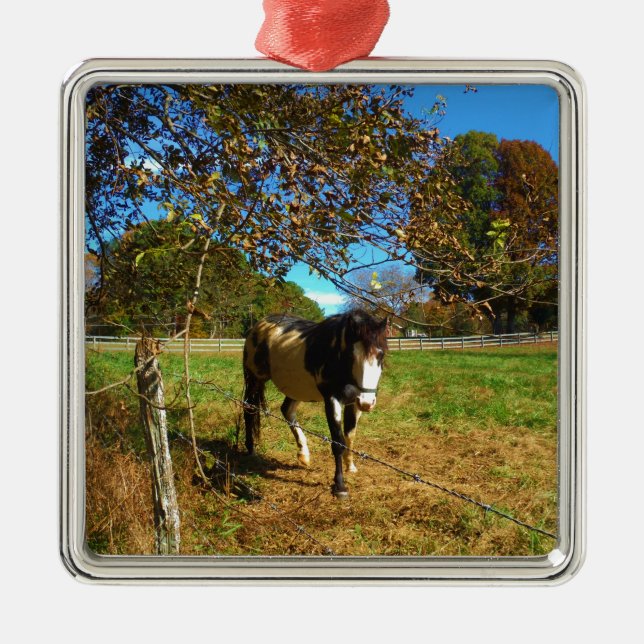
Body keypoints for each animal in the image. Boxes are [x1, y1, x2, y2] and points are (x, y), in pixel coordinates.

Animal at [242, 309, 388, 498]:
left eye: (381, 355)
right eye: (351, 355)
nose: (367, 403)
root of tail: (259, 325)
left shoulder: (353, 403)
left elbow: (350, 435)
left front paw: (351, 466)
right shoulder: (332, 400)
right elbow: (337, 442)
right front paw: (340, 486)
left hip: (295, 388)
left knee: (286, 410)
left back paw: (303, 454)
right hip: (254, 379)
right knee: (248, 410)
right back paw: (251, 450)